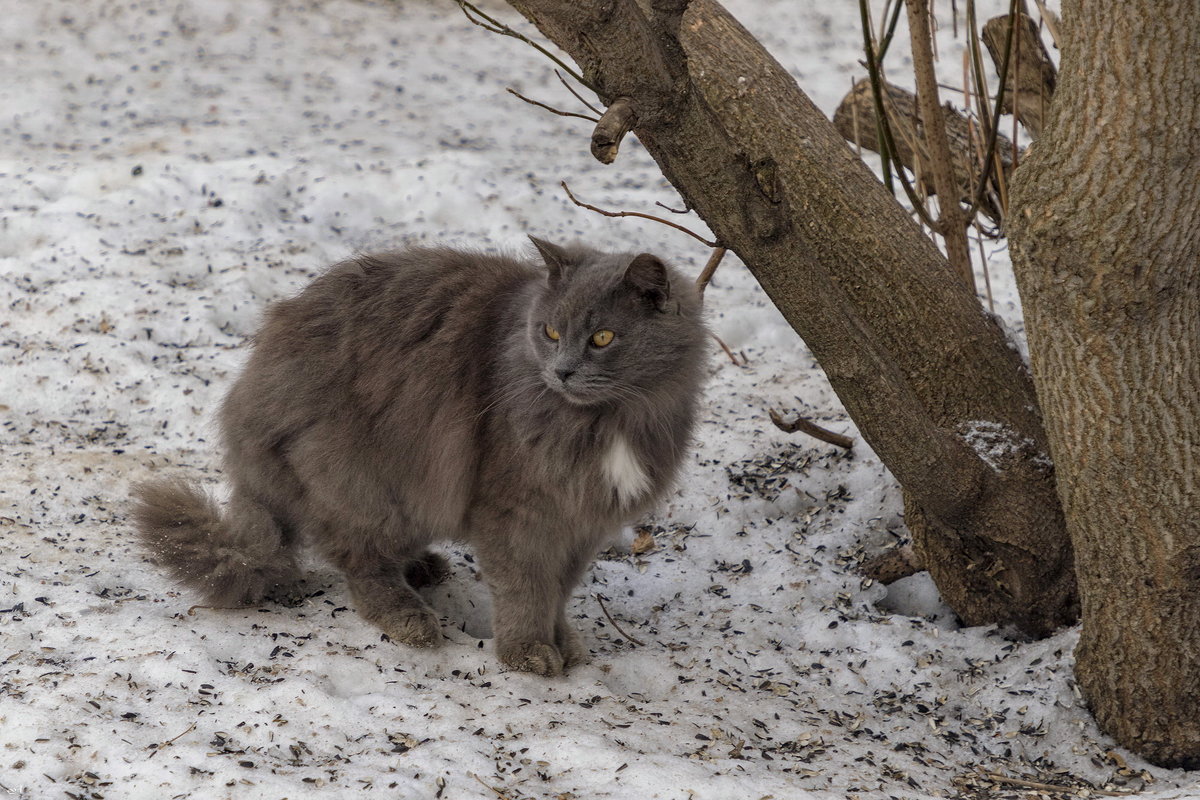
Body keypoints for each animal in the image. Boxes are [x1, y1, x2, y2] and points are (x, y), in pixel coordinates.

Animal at [132, 237, 705, 676]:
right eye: (551, 332)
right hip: (362, 480)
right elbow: (526, 587)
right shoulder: (517, 511)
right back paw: (411, 617)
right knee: (359, 563)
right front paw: (528, 653)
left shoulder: (580, 522)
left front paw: (562, 642)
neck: (608, 421)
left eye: (603, 337)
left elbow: (559, 591)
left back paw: (424, 566)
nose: (561, 371)